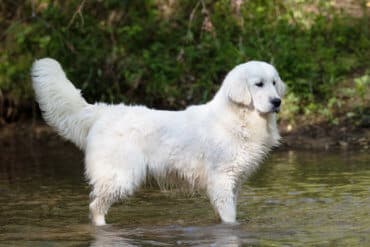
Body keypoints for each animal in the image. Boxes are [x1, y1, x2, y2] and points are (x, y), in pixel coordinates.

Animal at [31, 58, 286, 226]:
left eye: (274, 82)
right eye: (258, 84)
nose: (277, 101)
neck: (240, 118)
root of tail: (103, 111)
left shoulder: (234, 183)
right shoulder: (221, 180)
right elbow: (230, 218)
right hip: (120, 177)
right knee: (96, 207)